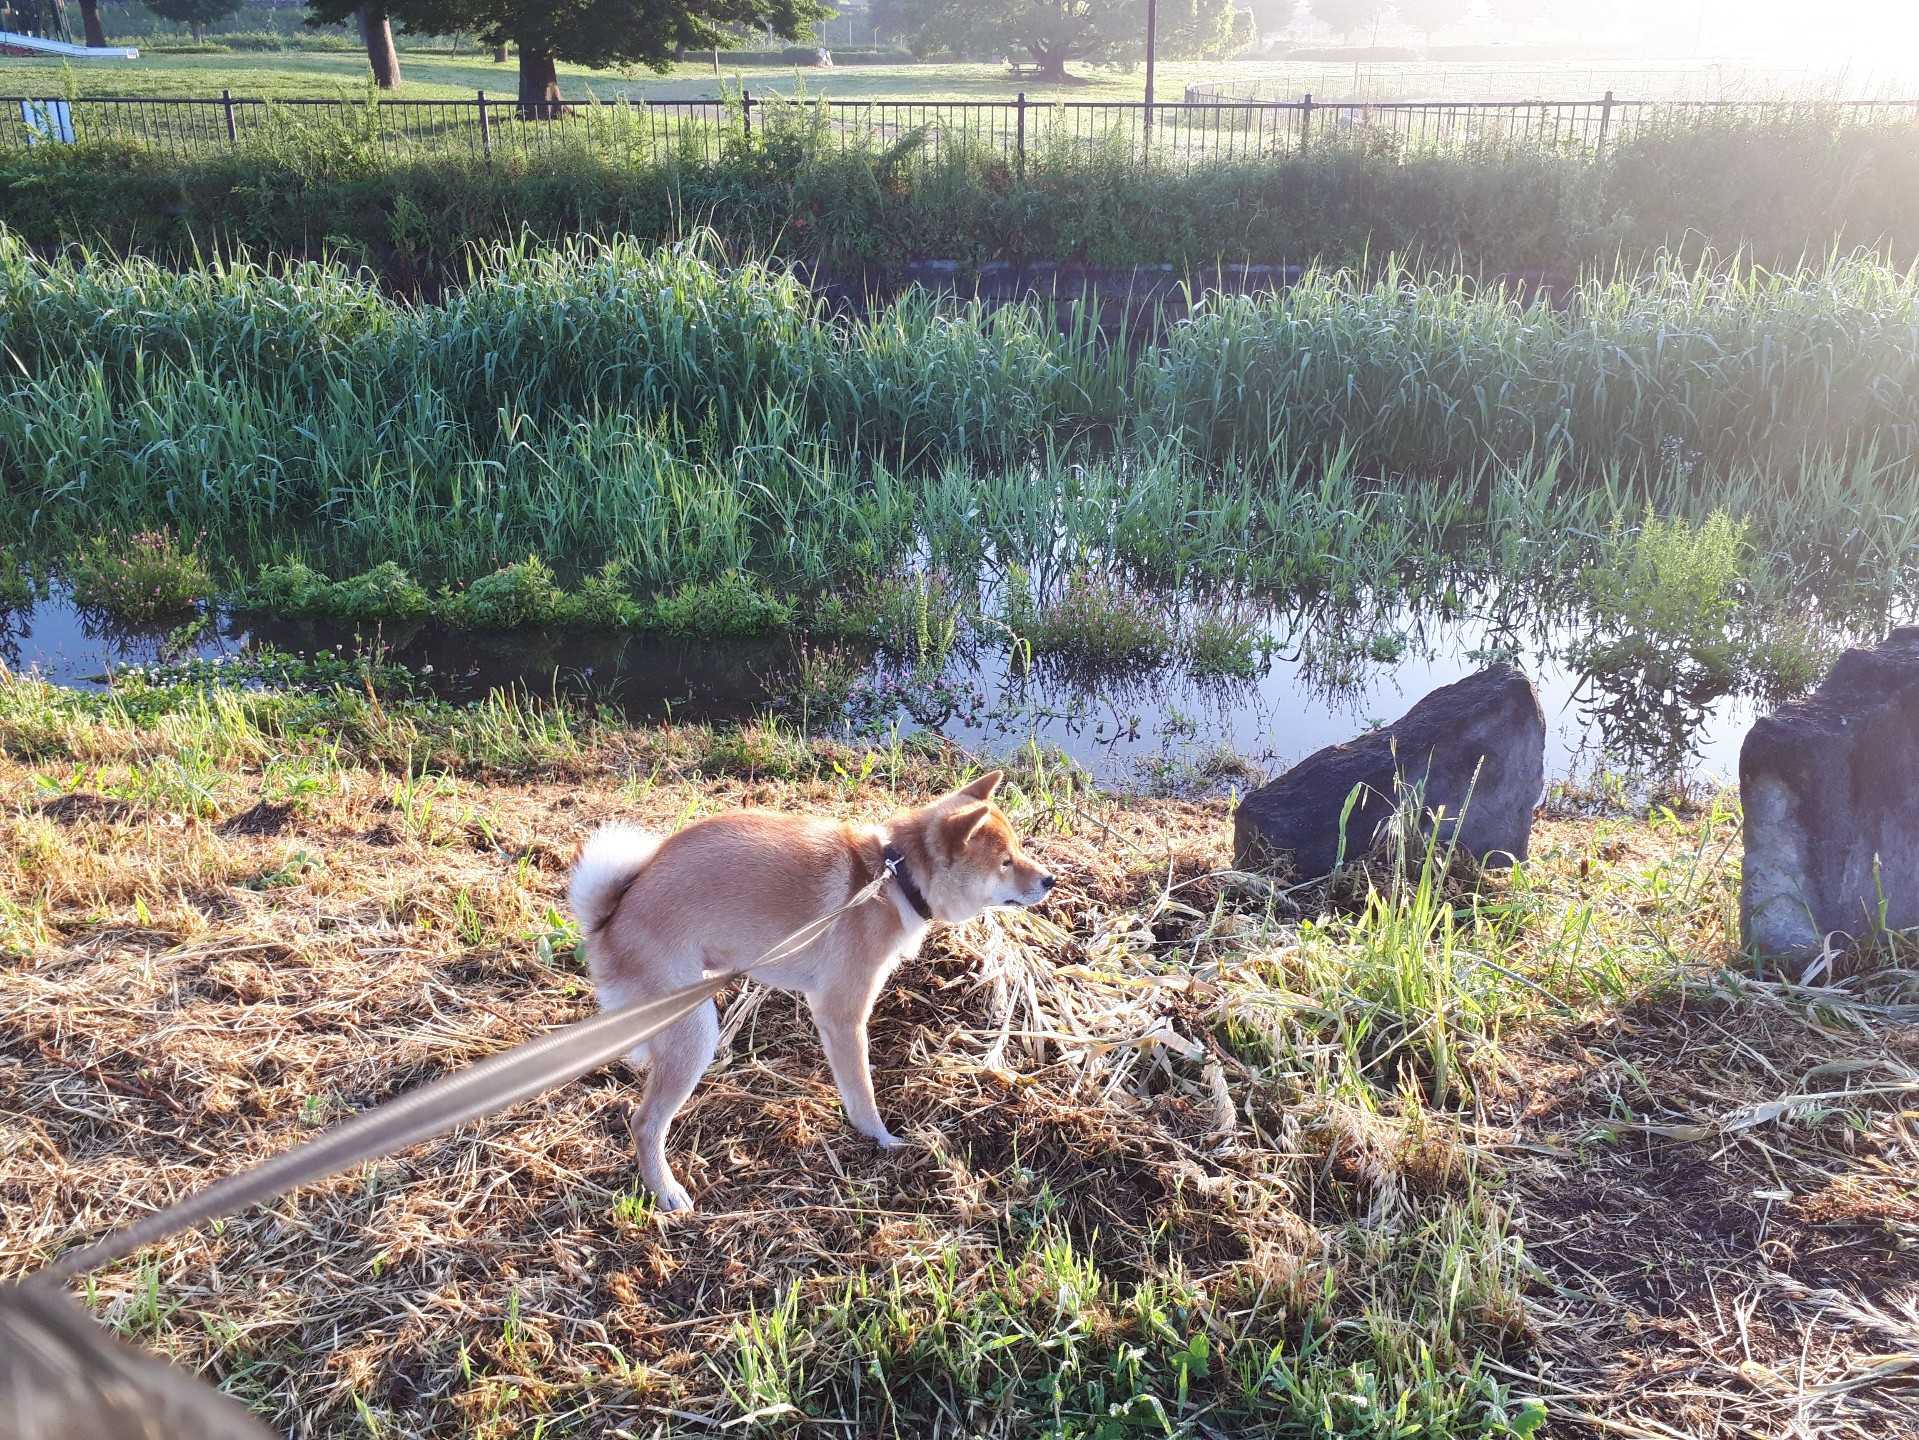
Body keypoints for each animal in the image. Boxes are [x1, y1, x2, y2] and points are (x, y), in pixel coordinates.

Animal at [568, 771, 1059, 1213]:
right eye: (1005, 862)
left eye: (1017, 850)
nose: (1050, 880)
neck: (893, 880)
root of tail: (609, 919)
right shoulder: (842, 1014)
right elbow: (861, 1092)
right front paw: (880, 1139)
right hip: (695, 1030)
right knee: (645, 1122)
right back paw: (666, 1190)